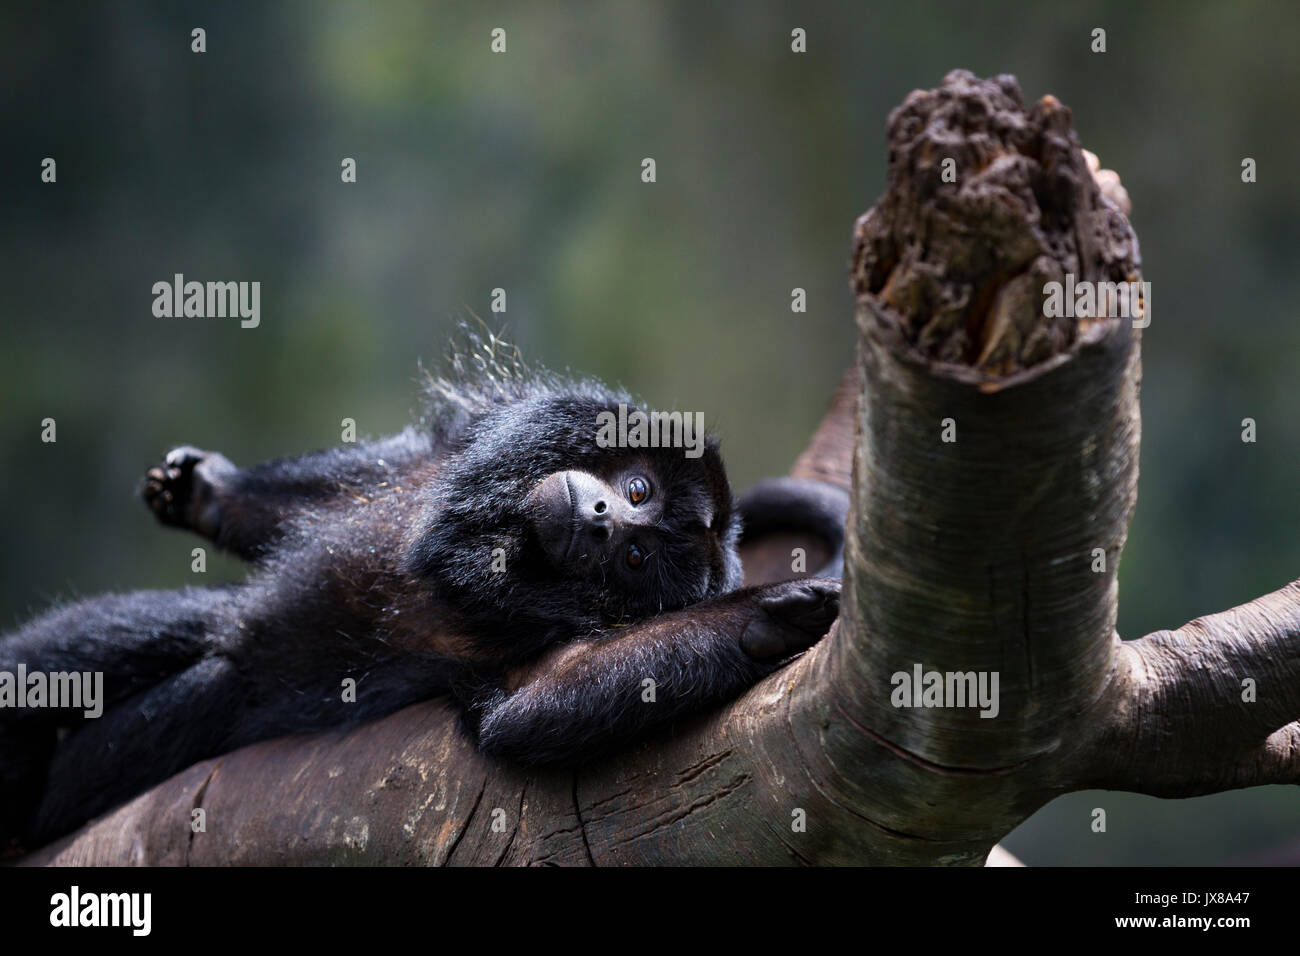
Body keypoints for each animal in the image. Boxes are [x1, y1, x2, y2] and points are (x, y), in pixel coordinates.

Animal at [0, 345, 842, 853]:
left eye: (635, 560)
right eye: (639, 492)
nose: (605, 521)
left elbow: (533, 708)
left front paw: (777, 611)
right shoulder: (545, 418)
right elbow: (411, 464)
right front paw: (212, 494)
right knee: (68, 651)